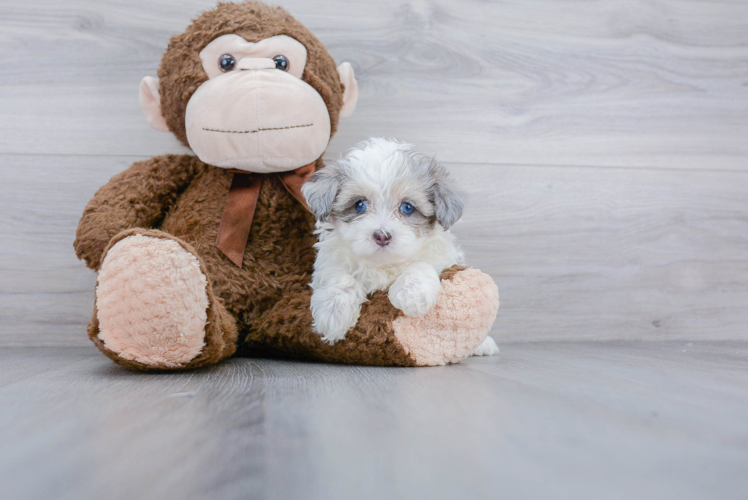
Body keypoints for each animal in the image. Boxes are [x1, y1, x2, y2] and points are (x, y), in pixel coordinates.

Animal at [300, 138, 500, 356]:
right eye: (360, 205)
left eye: (407, 208)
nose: (382, 236)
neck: (383, 264)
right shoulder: (331, 259)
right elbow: (340, 277)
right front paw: (333, 312)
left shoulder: (443, 257)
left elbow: (422, 264)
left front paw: (412, 294)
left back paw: (484, 344)